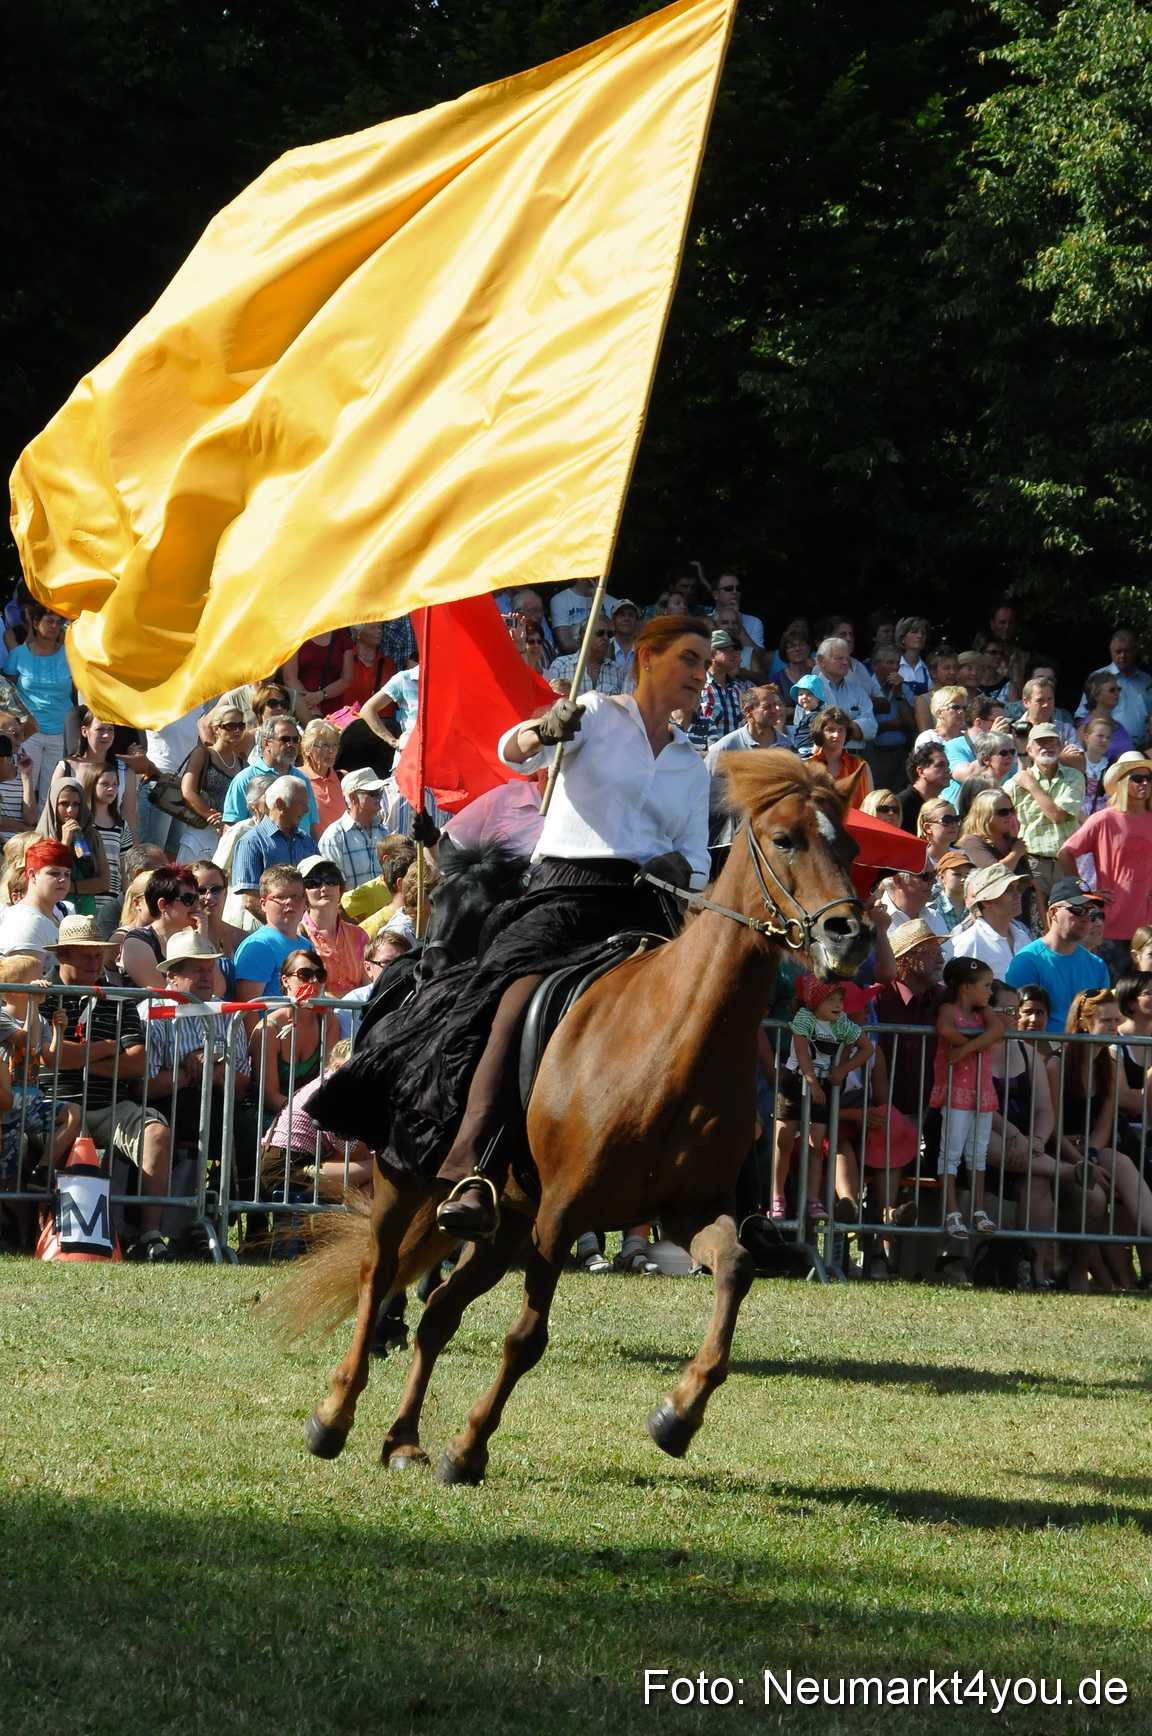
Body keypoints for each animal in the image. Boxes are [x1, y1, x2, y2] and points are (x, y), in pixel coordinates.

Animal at [285, 752, 873, 1481]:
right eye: (787, 839)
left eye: (850, 848)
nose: (849, 935)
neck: (672, 1040)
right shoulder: (562, 1214)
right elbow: (526, 1337)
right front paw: (469, 1448)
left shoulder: (687, 1210)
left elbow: (736, 1269)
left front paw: (678, 1414)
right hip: (410, 1181)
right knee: (378, 1275)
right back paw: (334, 1415)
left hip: (506, 1218)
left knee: (439, 1312)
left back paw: (403, 1440)